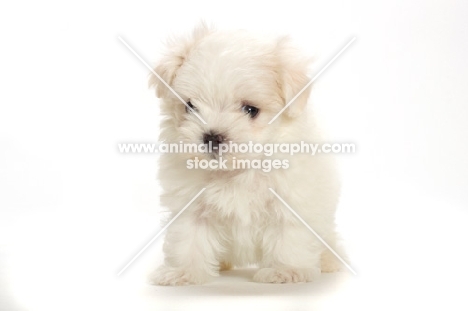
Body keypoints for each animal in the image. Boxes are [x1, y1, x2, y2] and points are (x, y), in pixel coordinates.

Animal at [149, 24, 344, 286]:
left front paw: (286, 270)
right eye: (190, 106)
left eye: (251, 110)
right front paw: (184, 272)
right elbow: (188, 239)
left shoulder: (291, 202)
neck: (238, 170)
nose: (211, 136)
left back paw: (329, 261)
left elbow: (289, 237)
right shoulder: (191, 206)